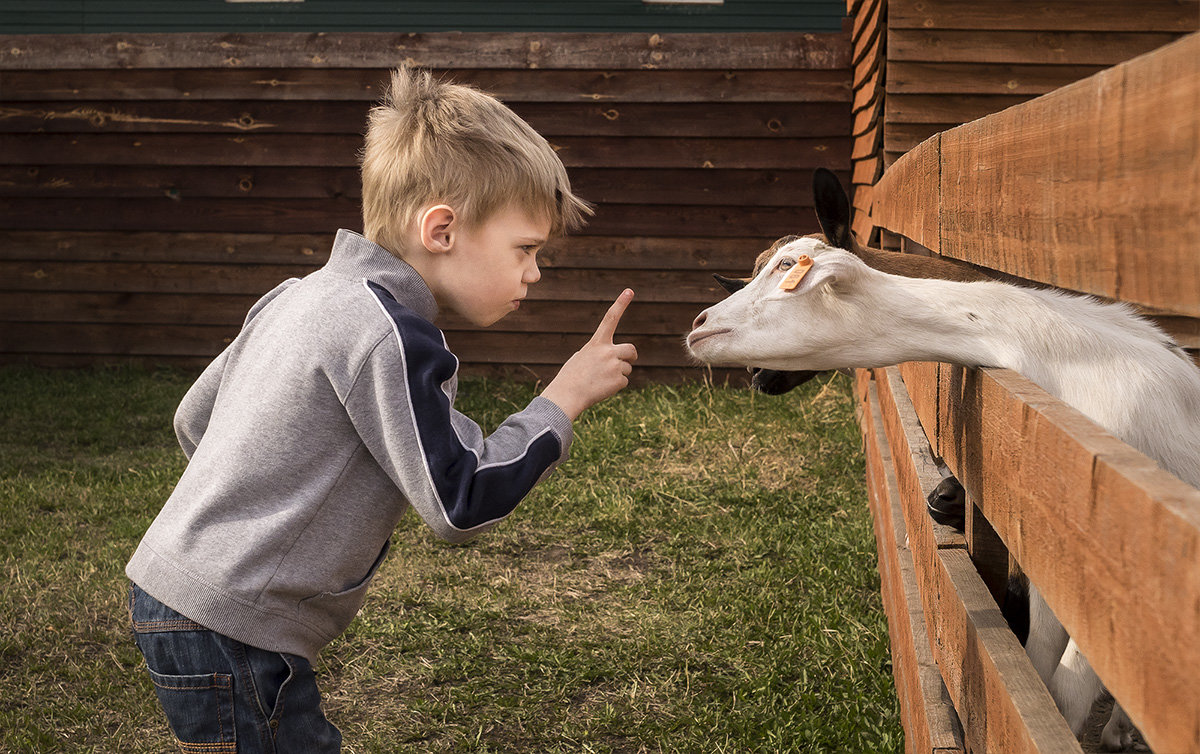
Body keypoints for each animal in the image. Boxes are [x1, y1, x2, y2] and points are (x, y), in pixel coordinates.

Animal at [691, 236, 1200, 749]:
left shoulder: (1102, 602)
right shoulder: (1045, 571)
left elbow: (1067, 692)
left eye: (785, 268)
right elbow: (1041, 666)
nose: (699, 325)